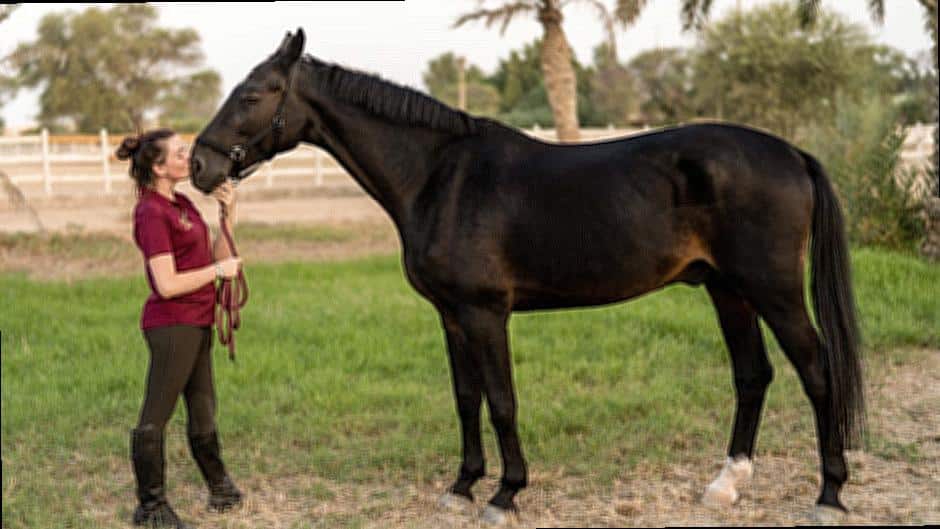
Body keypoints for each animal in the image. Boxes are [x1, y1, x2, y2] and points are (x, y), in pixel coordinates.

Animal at [193, 29, 868, 524]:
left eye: (254, 94)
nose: (199, 164)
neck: (438, 176)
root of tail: (793, 153)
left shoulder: (486, 312)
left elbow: (502, 402)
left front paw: (505, 493)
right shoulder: (451, 316)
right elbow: (466, 399)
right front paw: (461, 486)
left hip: (774, 291)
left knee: (817, 370)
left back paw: (829, 494)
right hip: (728, 290)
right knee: (753, 375)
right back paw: (726, 485)